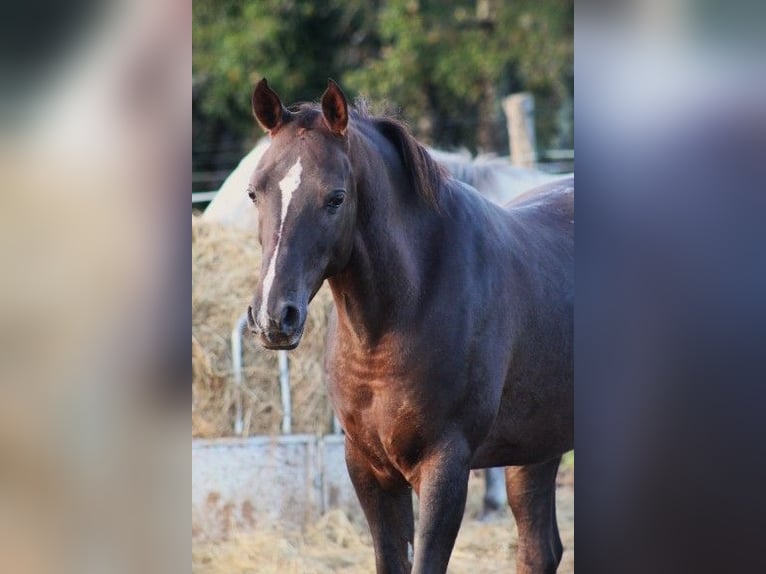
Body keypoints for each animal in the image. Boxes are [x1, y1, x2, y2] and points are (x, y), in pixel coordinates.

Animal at [248, 79, 576, 572]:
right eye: (255, 192)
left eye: (336, 197)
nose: (274, 316)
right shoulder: (369, 469)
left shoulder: (445, 467)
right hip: (536, 446)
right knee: (539, 549)